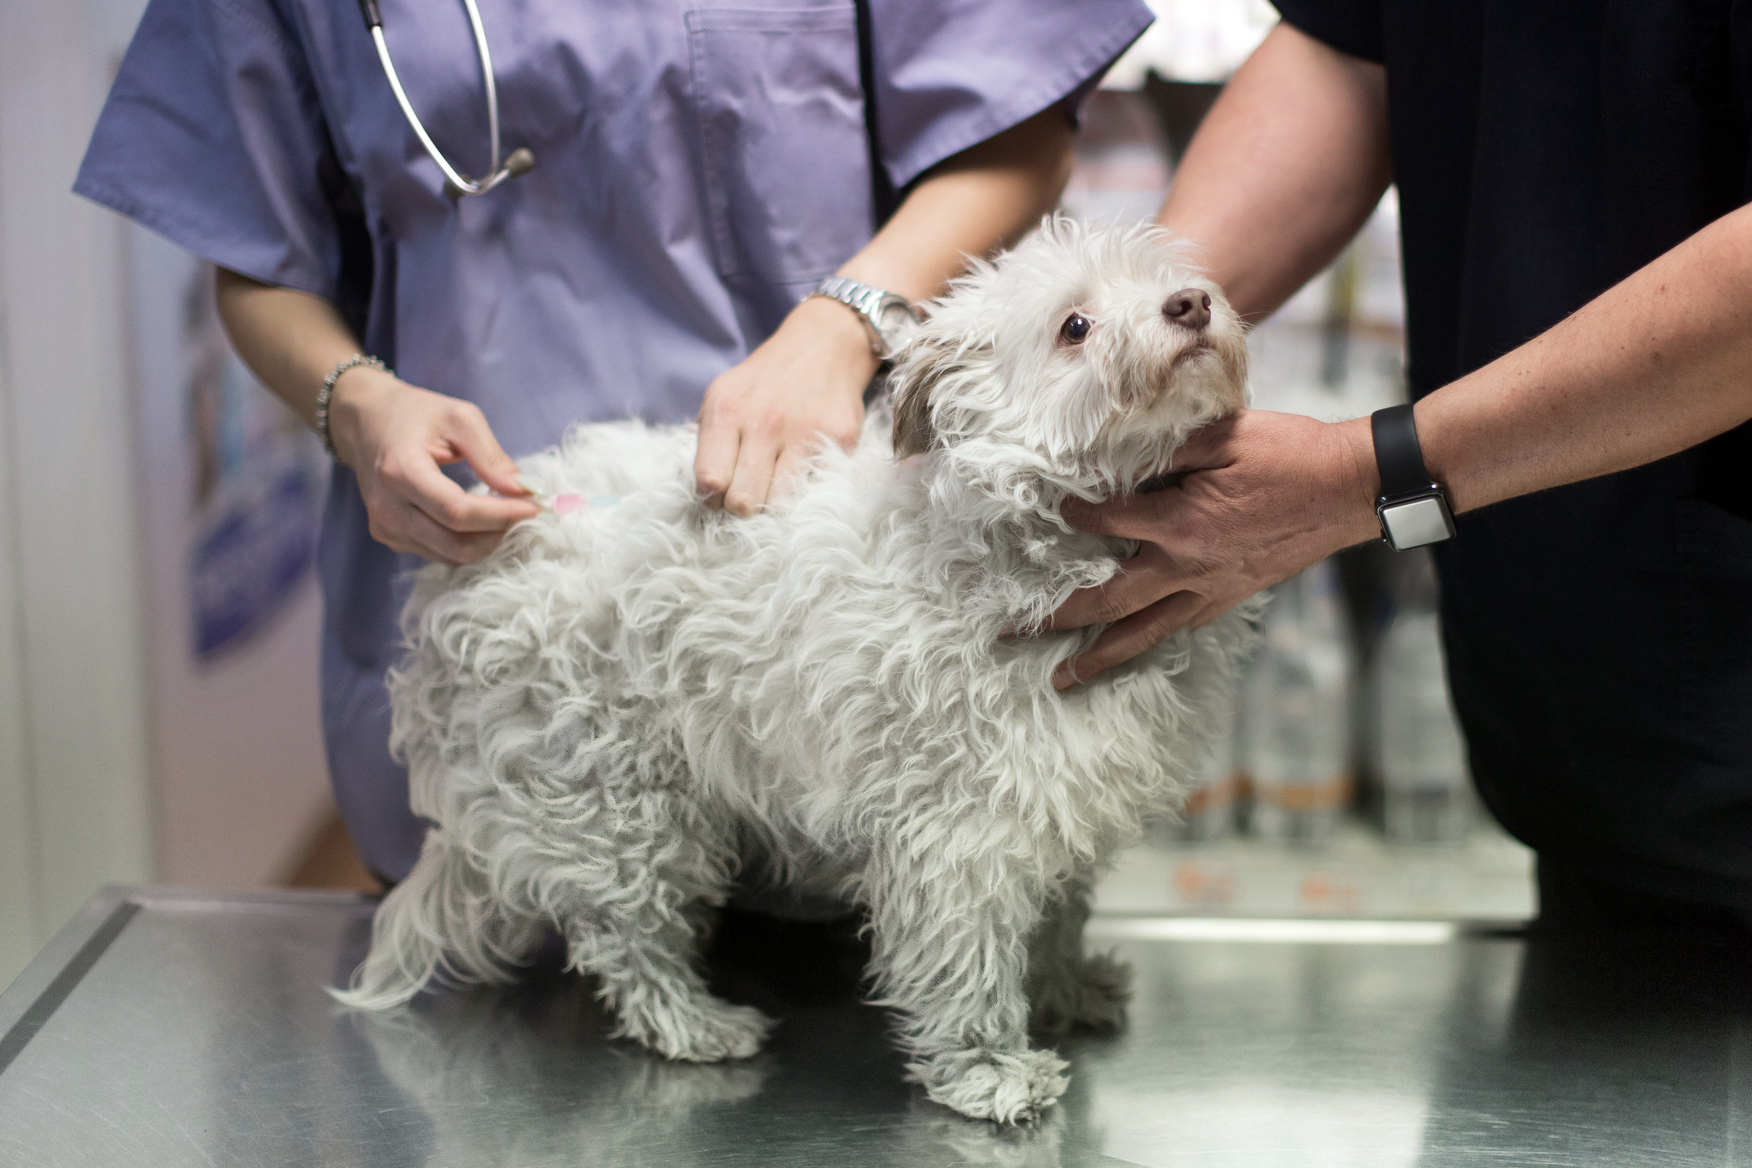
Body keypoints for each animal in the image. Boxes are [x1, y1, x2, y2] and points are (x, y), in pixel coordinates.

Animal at [331, 217, 1261, 1120]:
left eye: (1160, 278)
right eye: (1074, 326)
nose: (1189, 304)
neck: (1036, 545)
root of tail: (493, 545)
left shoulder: (1067, 796)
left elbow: (1059, 918)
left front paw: (1066, 991)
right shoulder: (960, 829)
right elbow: (969, 960)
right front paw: (988, 1070)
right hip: (617, 798)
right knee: (624, 935)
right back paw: (694, 1024)